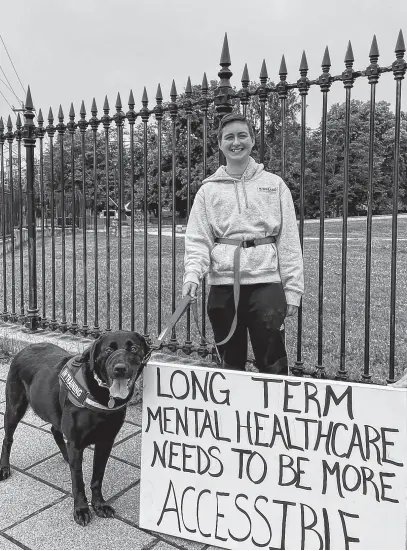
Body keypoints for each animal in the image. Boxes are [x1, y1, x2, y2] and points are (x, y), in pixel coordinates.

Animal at [0, 330, 149, 528]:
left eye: (133, 348)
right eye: (108, 349)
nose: (120, 368)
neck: (102, 396)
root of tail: (25, 348)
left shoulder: (106, 442)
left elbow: (97, 477)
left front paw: (99, 504)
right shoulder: (77, 443)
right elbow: (78, 481)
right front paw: (81, 509)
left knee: (55, 431)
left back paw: (65, 456)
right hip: (14, 408)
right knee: (7, 439)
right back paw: (4, 467)